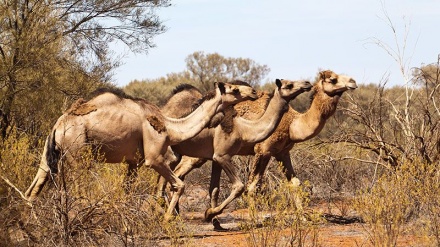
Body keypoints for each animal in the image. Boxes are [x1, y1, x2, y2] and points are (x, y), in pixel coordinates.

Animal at [24, 81, 258, 218]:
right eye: (235, 89)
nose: (254, 91)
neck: (171, 126)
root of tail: (58, 125)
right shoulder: (153, 157)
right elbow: (179, 185)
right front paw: (166, 220)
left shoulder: (133, 162)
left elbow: (127, 192)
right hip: (77, 152)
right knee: (74, 188)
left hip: (50, 154)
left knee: (34, 187)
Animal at [160, 78, 312, 224]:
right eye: (289, 85)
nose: (307, 83)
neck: (244, 128)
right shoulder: (224, 155)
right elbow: (240, 186)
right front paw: (209, 214)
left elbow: (216, 188)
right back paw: (169, 216)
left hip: (175, 154)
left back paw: (170, 214)